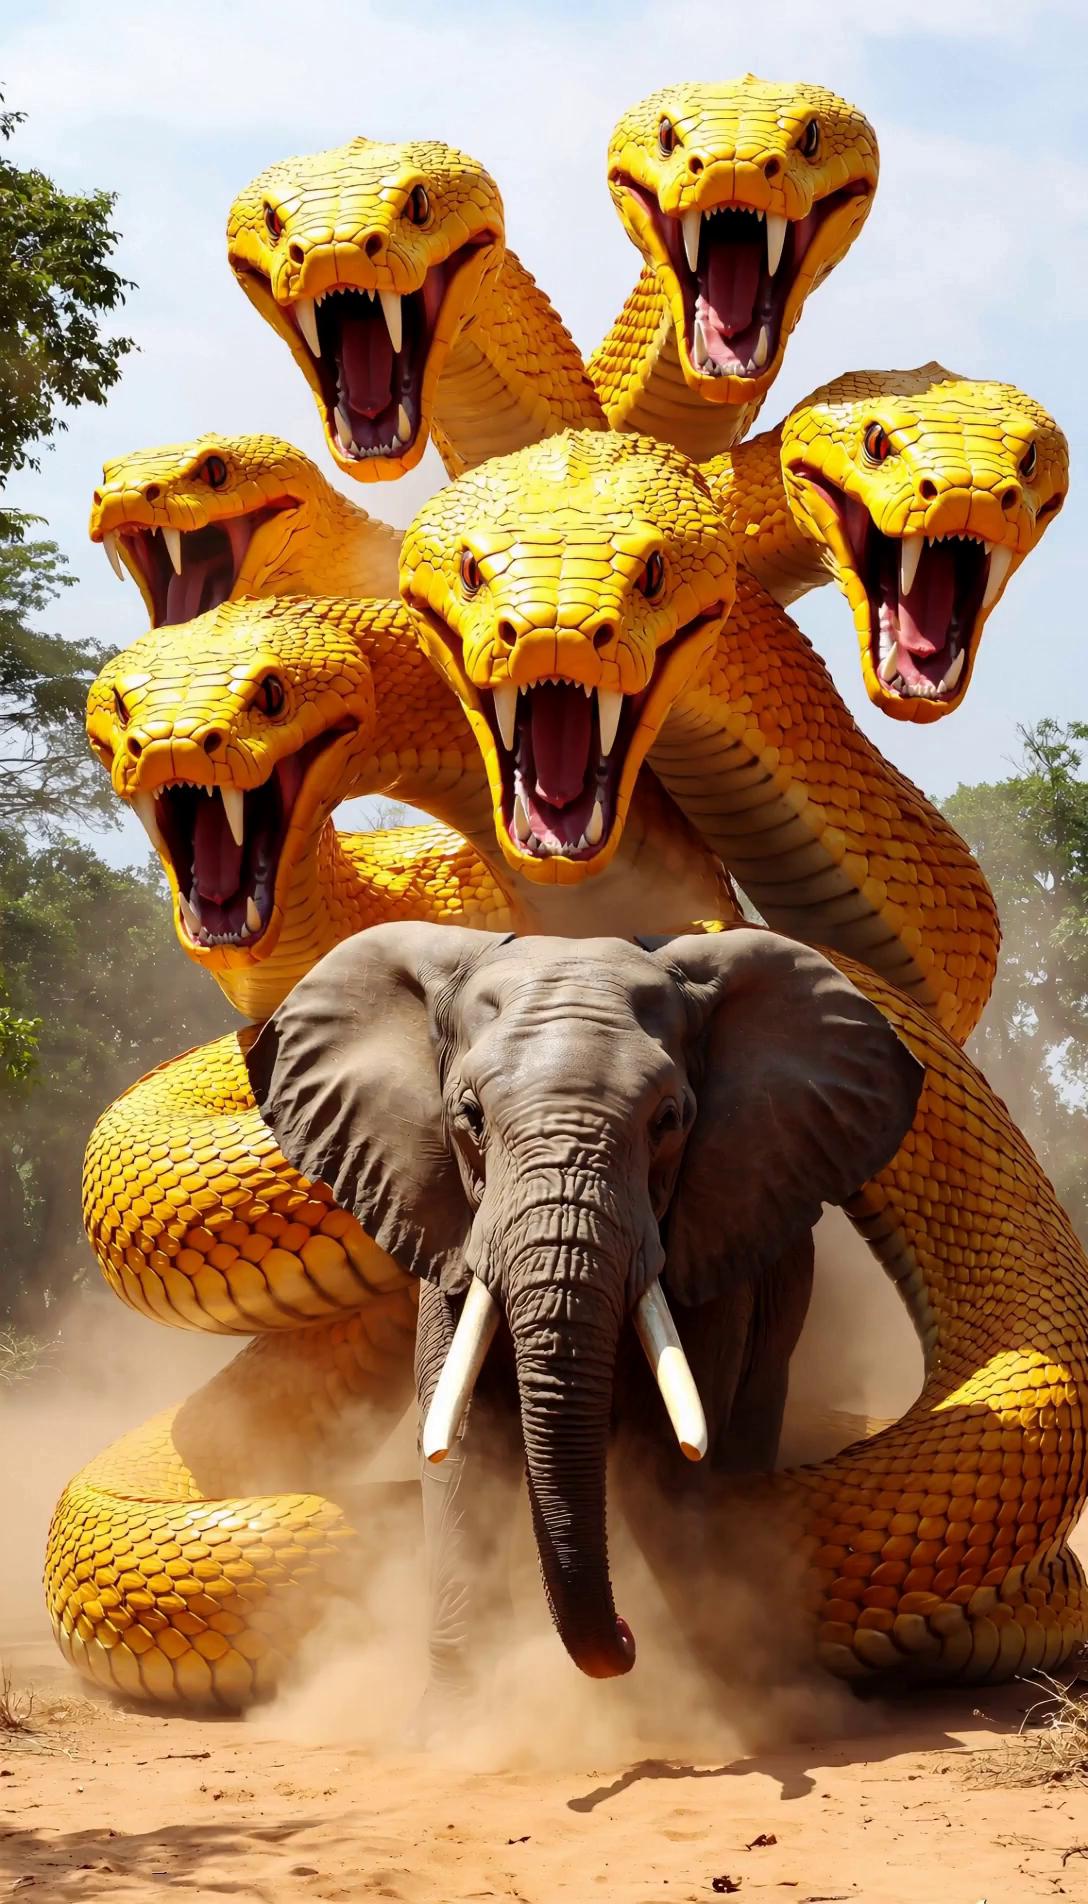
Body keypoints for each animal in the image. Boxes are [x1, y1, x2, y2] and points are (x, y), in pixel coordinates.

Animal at [246, 921, 922, 1688]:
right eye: (469, 1118)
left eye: (669, 1121)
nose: (626, 1637)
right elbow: (466, 1446)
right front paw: (453, 1715)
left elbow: (664, 1452)